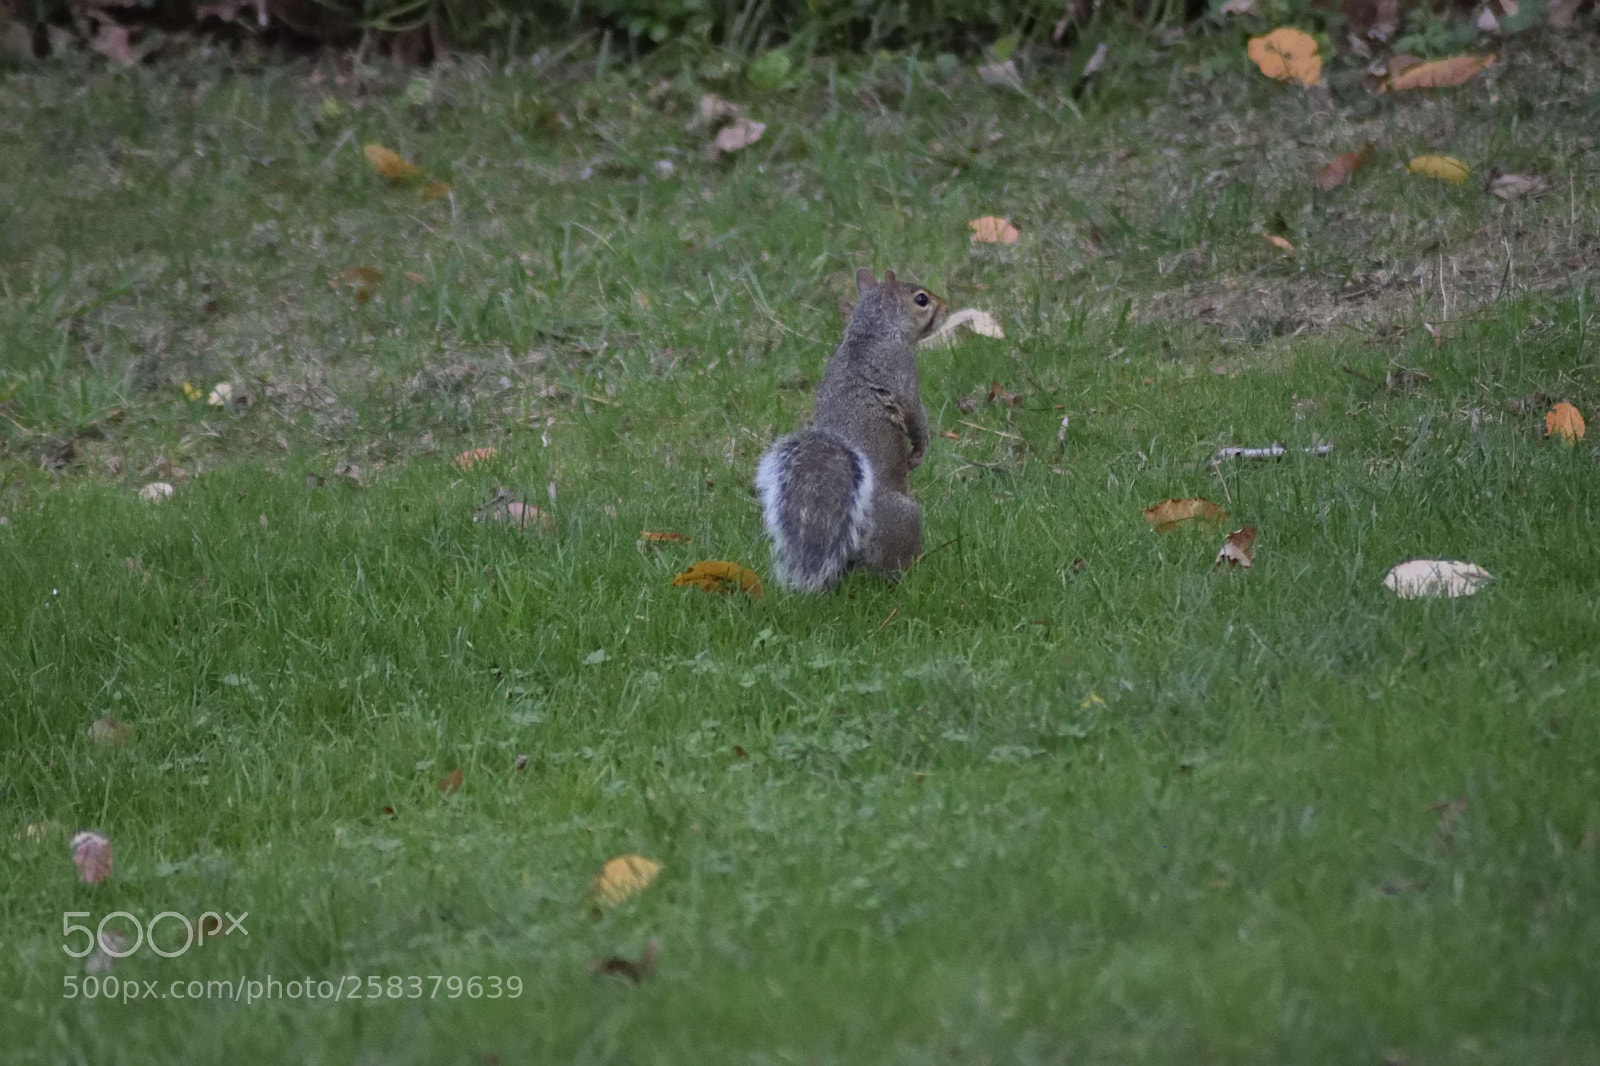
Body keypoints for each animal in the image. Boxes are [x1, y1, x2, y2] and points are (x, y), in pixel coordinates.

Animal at [755, 269, 949, 592]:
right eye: (921, 299)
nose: (947, 307)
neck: (872, 332)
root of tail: (853, 548)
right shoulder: (904, 373)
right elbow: (916, 416)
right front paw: (919, 452)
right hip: (906, 515)